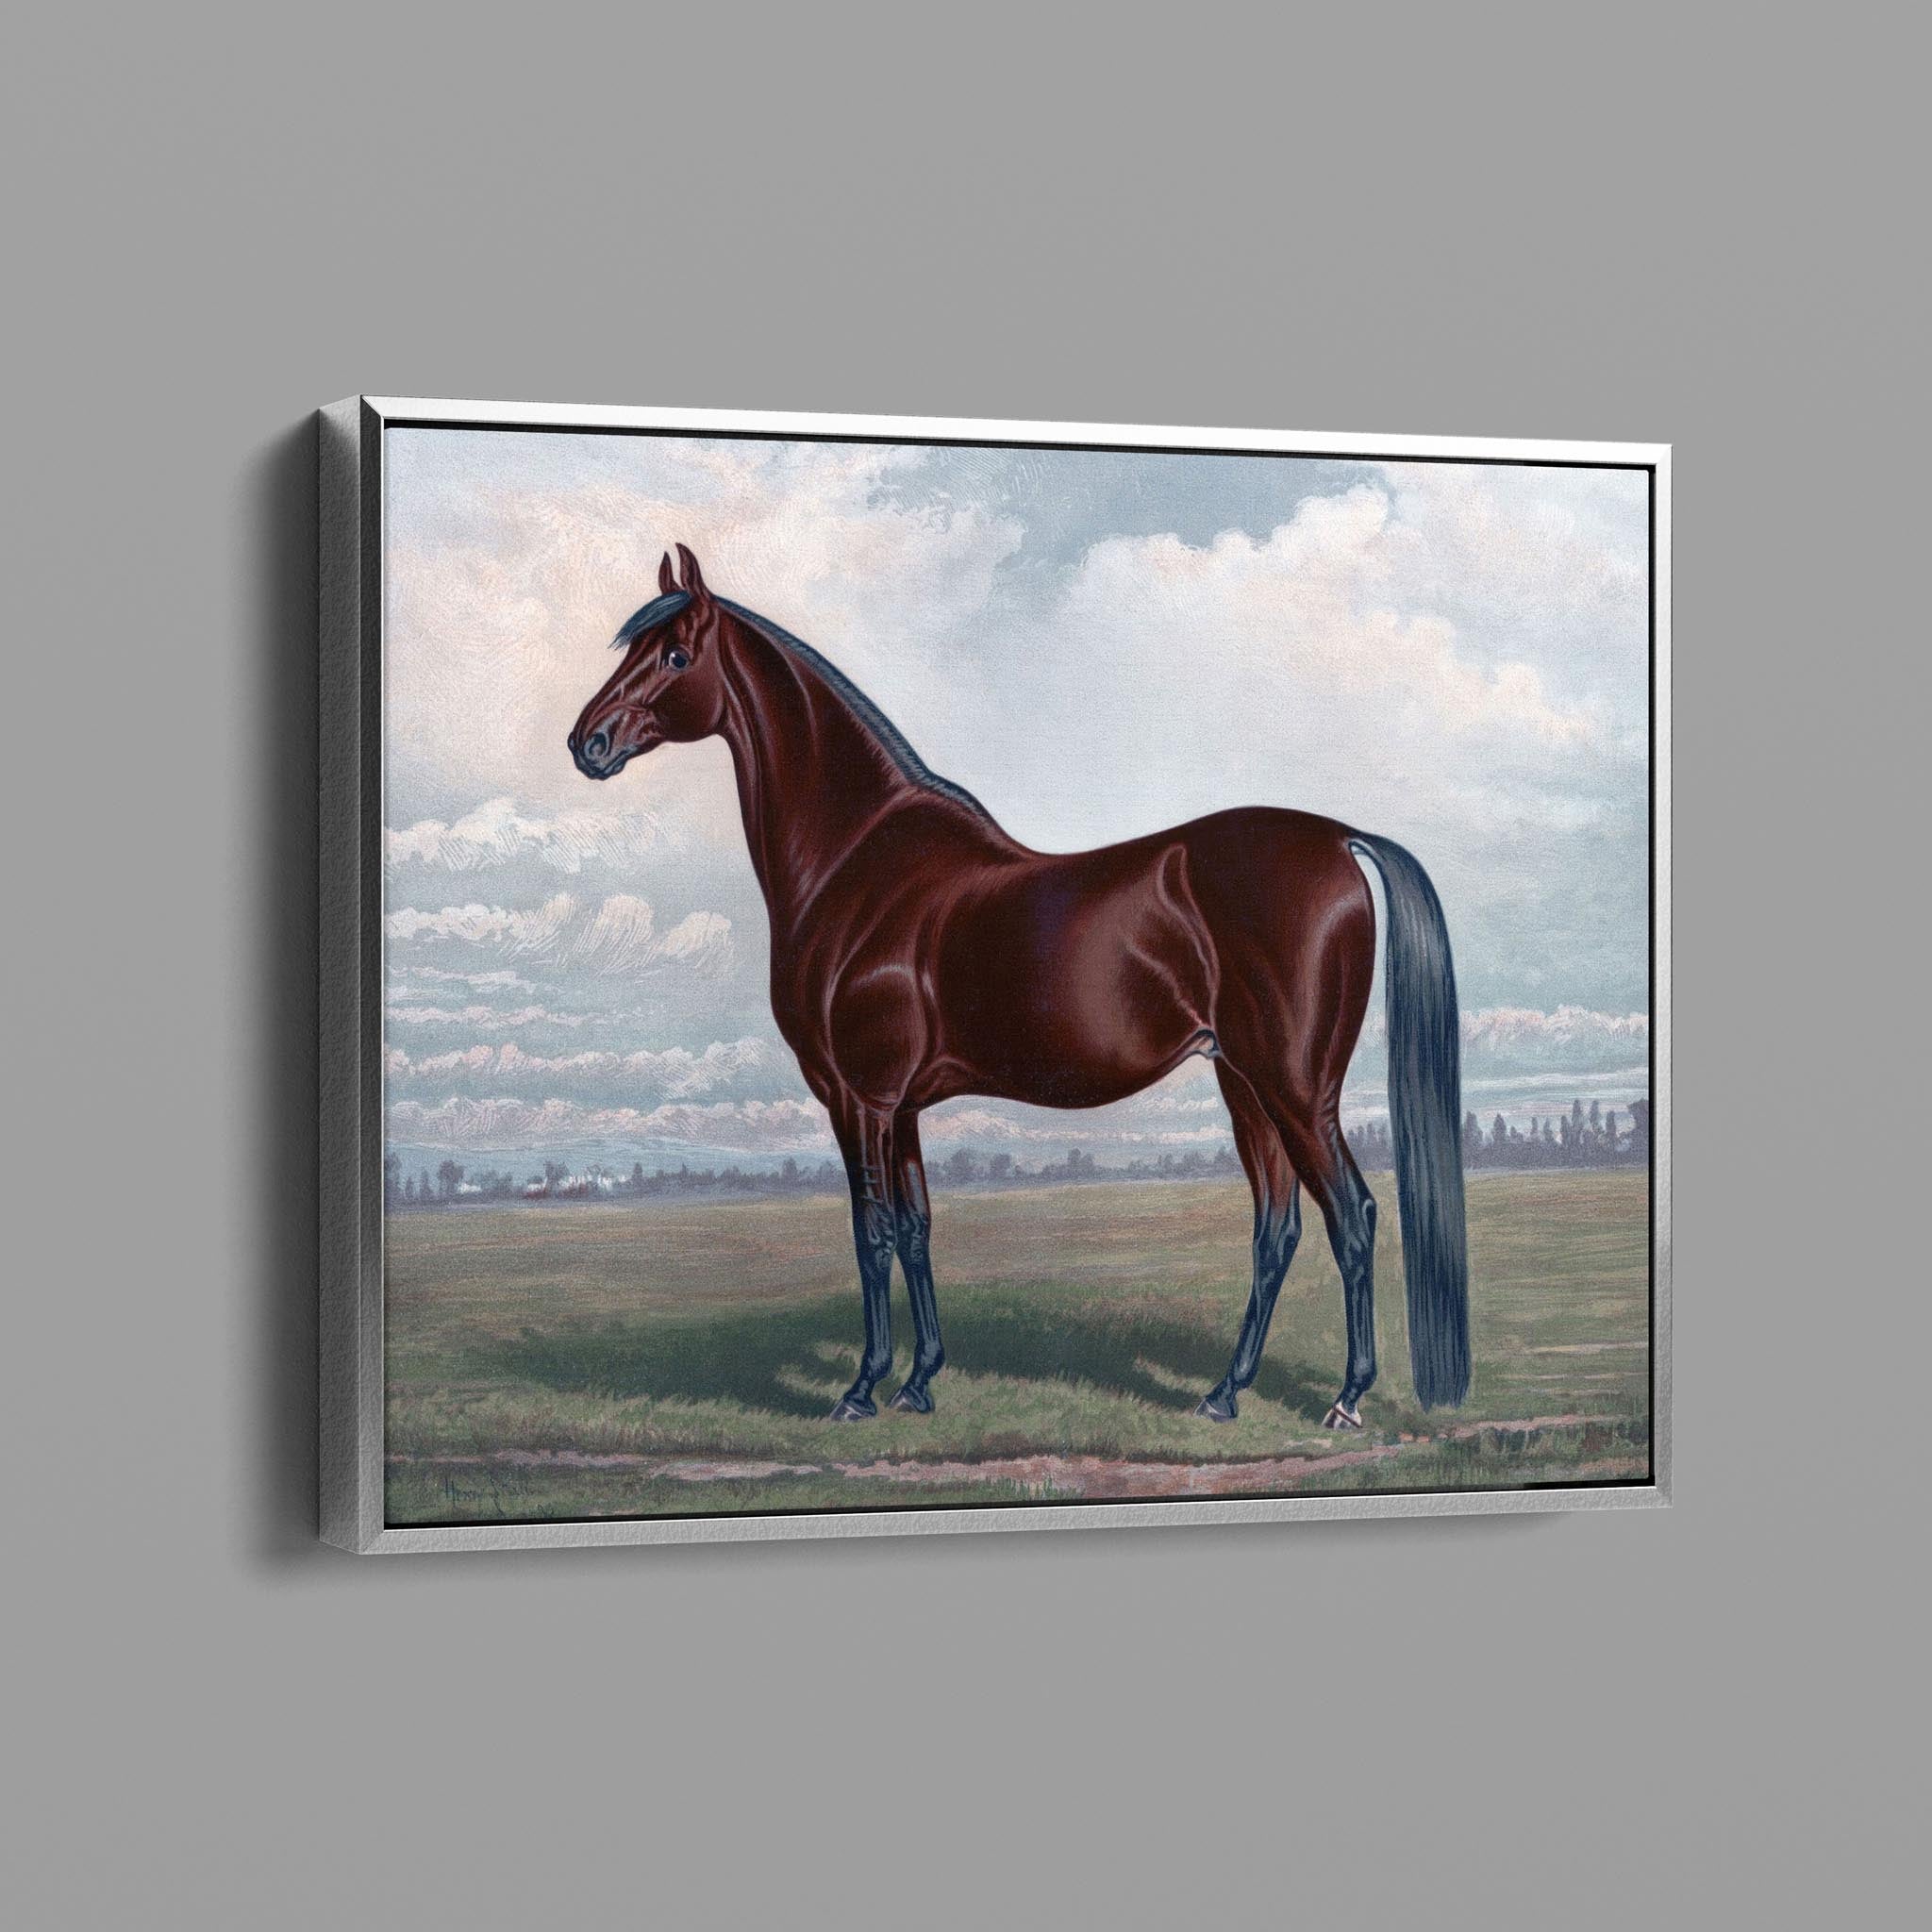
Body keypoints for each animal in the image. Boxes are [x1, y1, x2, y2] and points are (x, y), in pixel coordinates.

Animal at [569, 544, 1469, 1430]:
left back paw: (1347, 1398)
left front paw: (862, 1388)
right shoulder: (902, 1107)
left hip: (1296, 1089)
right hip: (1244, 1084)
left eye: (675, 655)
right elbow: (918, 1228)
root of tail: (1341, 840)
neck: (856, 860)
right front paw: (921, 1381)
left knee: (1351, 1218)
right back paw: (1223, 1393)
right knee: (1275, 1228)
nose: (588, 742)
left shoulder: (859, 1099)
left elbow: (872, 1233)